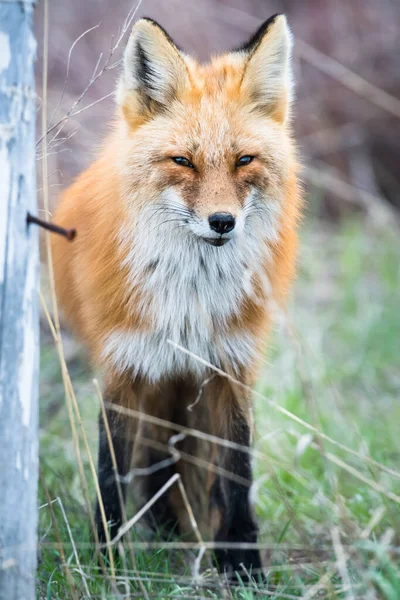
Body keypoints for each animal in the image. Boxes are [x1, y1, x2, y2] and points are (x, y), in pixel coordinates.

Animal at [50, 15, 300, 580]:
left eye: (244, 160)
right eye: (183, 161)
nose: (222, 222)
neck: (190, 301)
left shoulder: (230, 366)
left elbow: (236, 473)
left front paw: (244, 567)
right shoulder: (123, 365)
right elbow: (112, 473)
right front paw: (107, 564)